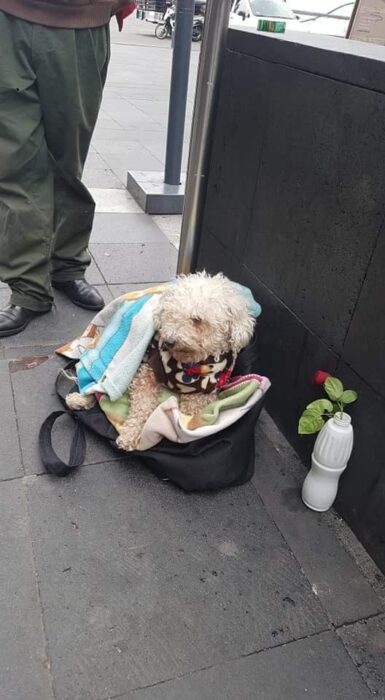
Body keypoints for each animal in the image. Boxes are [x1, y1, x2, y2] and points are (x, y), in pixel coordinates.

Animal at [65, 270, 255, 452]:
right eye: (169, 315)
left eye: (197, 319)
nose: (168, 342)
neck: (189, 366)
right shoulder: (147, 372)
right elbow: (141, 406)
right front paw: (130, 434)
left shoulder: (204, 393)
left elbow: (189, 411)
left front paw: (182, 426)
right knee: (96, 387)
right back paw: (79, 399)